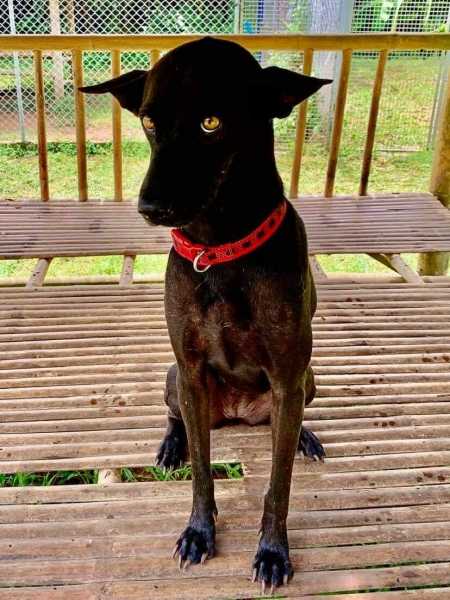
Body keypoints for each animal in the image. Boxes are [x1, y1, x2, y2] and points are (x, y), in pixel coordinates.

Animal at [81, 37, 331, 593]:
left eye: (211, 122)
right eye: (148, 121)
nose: (149, 207)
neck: (221, 250)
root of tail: (236, 411)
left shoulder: (288, 377)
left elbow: (278, 485)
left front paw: (273, 551)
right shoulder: (191, 371)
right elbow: (200, 471)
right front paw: (198, 532)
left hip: (306, 380)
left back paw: (304, 435)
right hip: (174, 378)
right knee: (177, 418)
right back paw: (171, 446)